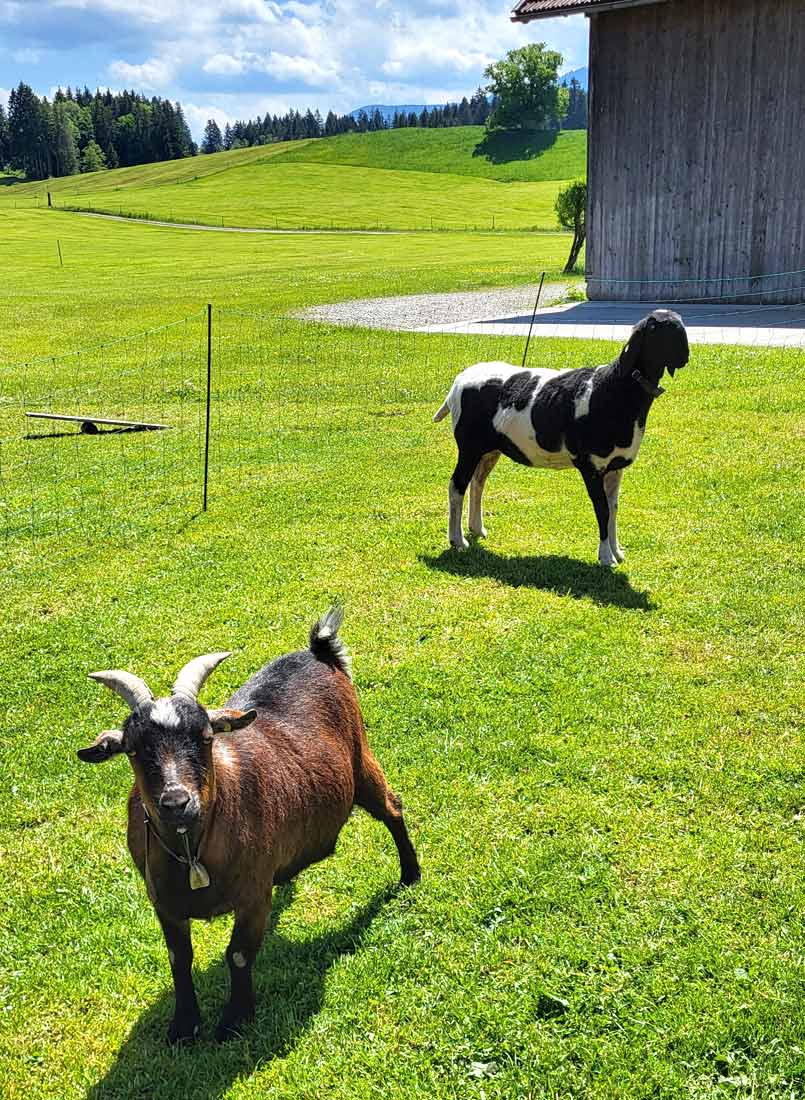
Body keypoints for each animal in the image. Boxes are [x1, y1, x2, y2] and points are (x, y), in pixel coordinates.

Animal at [77, 607, 420, 1043]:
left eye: (206, 736)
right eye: (133, 750)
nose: (176, 802)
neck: (194, 854)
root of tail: (320, 652)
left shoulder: (253, 896)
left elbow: (238, 954)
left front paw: (234, 1020)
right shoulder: (164, 904)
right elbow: (179, 958)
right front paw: (183, 1025)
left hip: (362, 762)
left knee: (393, 809)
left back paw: (410, 875)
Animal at [433, 309, 689, 565]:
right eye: (664, 330)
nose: (685, 358)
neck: (615, 388)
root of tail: (458, 383)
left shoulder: (615, 467)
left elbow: (614, 508)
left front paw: (617, 552)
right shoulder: (591, 465)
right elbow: (602, 510)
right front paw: (606, 557)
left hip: (490, 449)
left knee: (477, 482)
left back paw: (477, 529)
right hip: (469, 446)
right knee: (456, 486)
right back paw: (458, 540)